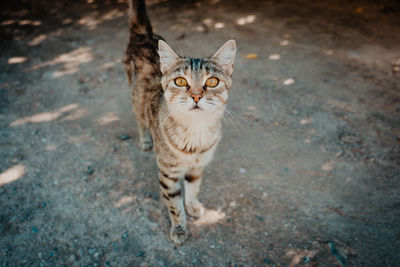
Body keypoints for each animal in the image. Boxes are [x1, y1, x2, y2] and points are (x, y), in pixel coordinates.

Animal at [125, 0, 236, 245]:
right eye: (180, 81)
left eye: (212, 81)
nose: (195, 96)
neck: (196, 134)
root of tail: (144, 35)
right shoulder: (168, 174)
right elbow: (174, 205)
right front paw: (179, 228)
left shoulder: (198, 166)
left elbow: (193, 189)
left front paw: (193, 207)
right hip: (135, 98)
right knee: (139, 119)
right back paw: (145, 140)